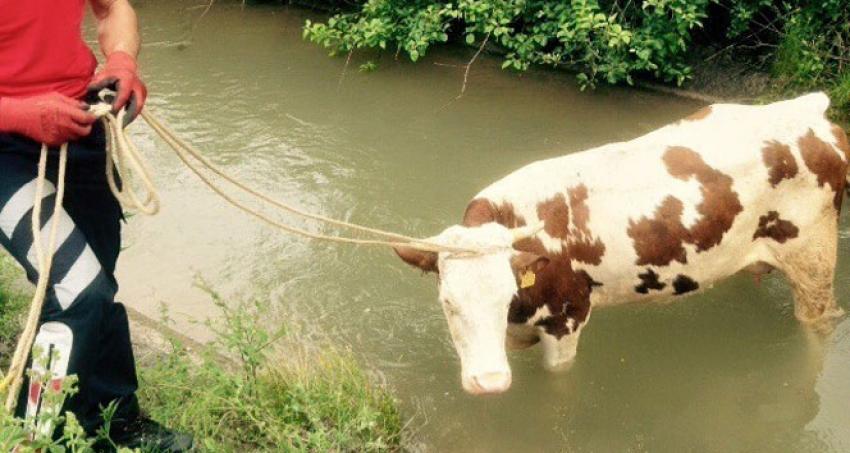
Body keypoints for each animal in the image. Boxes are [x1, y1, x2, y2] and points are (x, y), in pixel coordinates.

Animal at [396, 93, 848, 394]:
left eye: (506, 296)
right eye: (448, 303)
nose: (489, 382)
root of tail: (808, 110)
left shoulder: (567, 317)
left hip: (814, 258)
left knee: (822, 324)